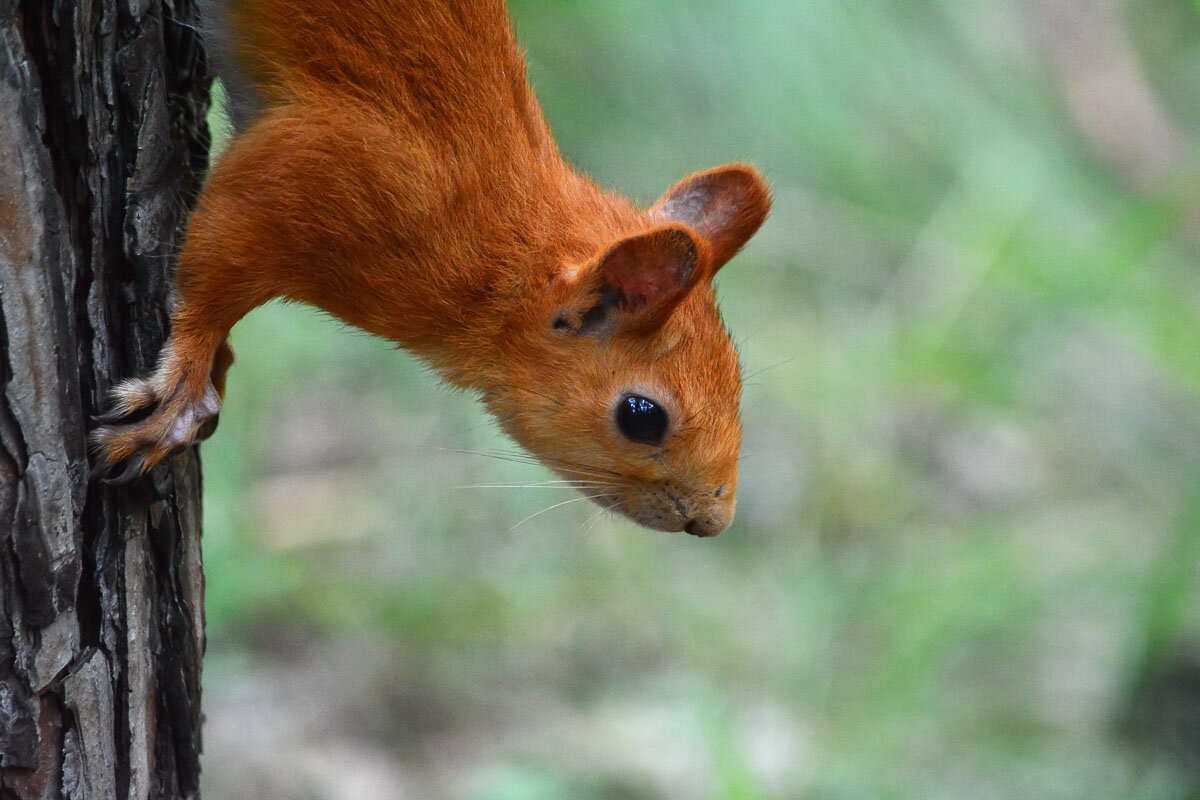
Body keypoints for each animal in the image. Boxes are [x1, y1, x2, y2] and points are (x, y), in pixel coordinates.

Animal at [91, 1, 768, 537]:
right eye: (641, 417)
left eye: (739, 381)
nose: (713, 522)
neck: (499, 268)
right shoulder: (321, 169)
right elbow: (216, 265)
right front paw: (186, 380)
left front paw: (218, 359)